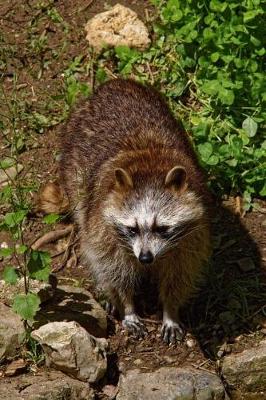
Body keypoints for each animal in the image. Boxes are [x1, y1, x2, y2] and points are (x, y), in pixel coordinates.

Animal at [60, 78, 212, 344]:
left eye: (162, 228)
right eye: (132, 228)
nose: (145, 258)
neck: (149, 168)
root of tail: (114, 83)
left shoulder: (191, 239)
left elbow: (179, 274)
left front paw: (170, 310)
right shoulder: (103, 228)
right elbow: (113, 269)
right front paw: (127, 306)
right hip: (73, 166)